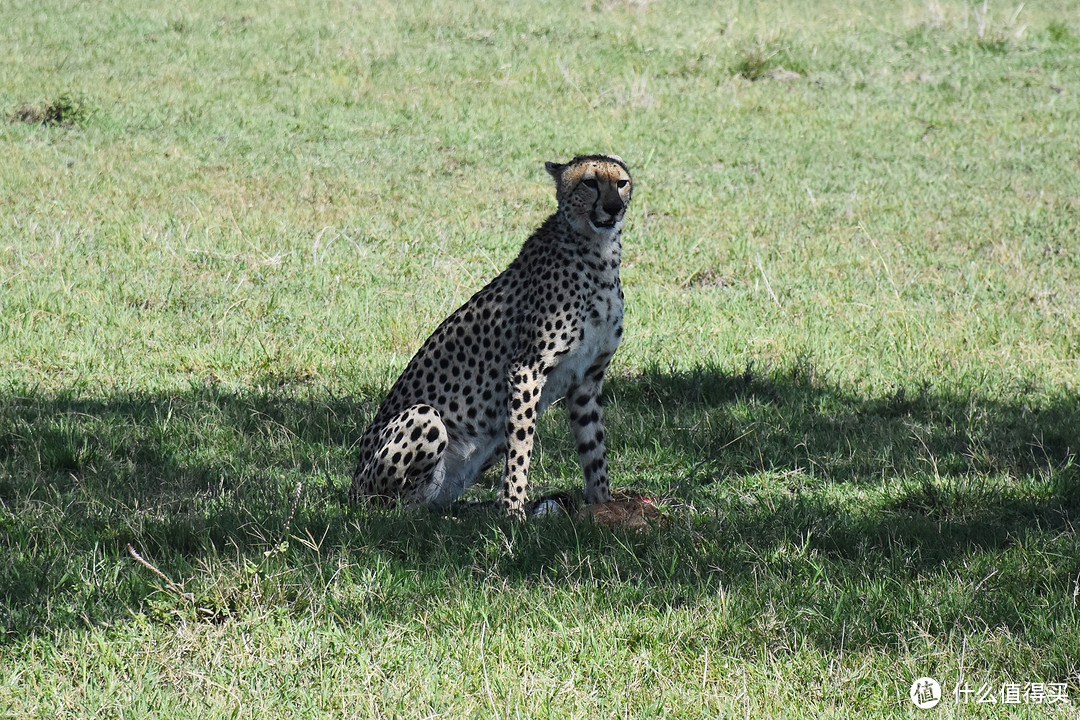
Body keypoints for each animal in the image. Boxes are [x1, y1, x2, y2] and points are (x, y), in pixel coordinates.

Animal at [349, 153, 630, 518]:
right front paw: (513, 512)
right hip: (422, 419)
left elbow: (594, 450)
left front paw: (602, 506)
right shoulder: (527, 370)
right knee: (392, 507)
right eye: (590, 183)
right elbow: (521, 448)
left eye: (621, 183)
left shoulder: (588, 378)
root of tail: (351, 489)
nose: (613, 207)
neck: (599, 253)